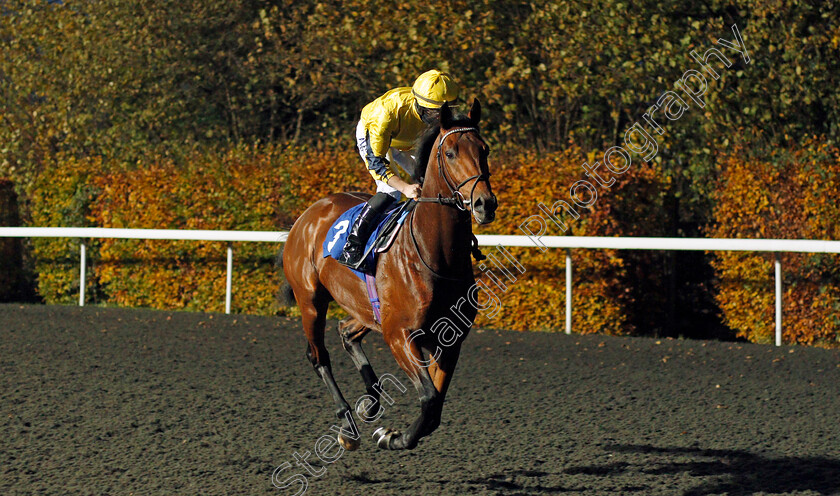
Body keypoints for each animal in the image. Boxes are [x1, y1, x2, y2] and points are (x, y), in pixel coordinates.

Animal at [282, 99, 496, 452]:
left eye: (485, 149)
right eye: (451, 152)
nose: (484, 204)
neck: (435, 254)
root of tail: (309, 213)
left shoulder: (450, 339)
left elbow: (435, 405)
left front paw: (392, 433)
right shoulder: (400, 334)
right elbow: (429, 398)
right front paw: (391, 437)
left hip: (367, 309)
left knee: (346, 332)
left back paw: (371, 402)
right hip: (311, 300)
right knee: (318, 355)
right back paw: (347, 424)